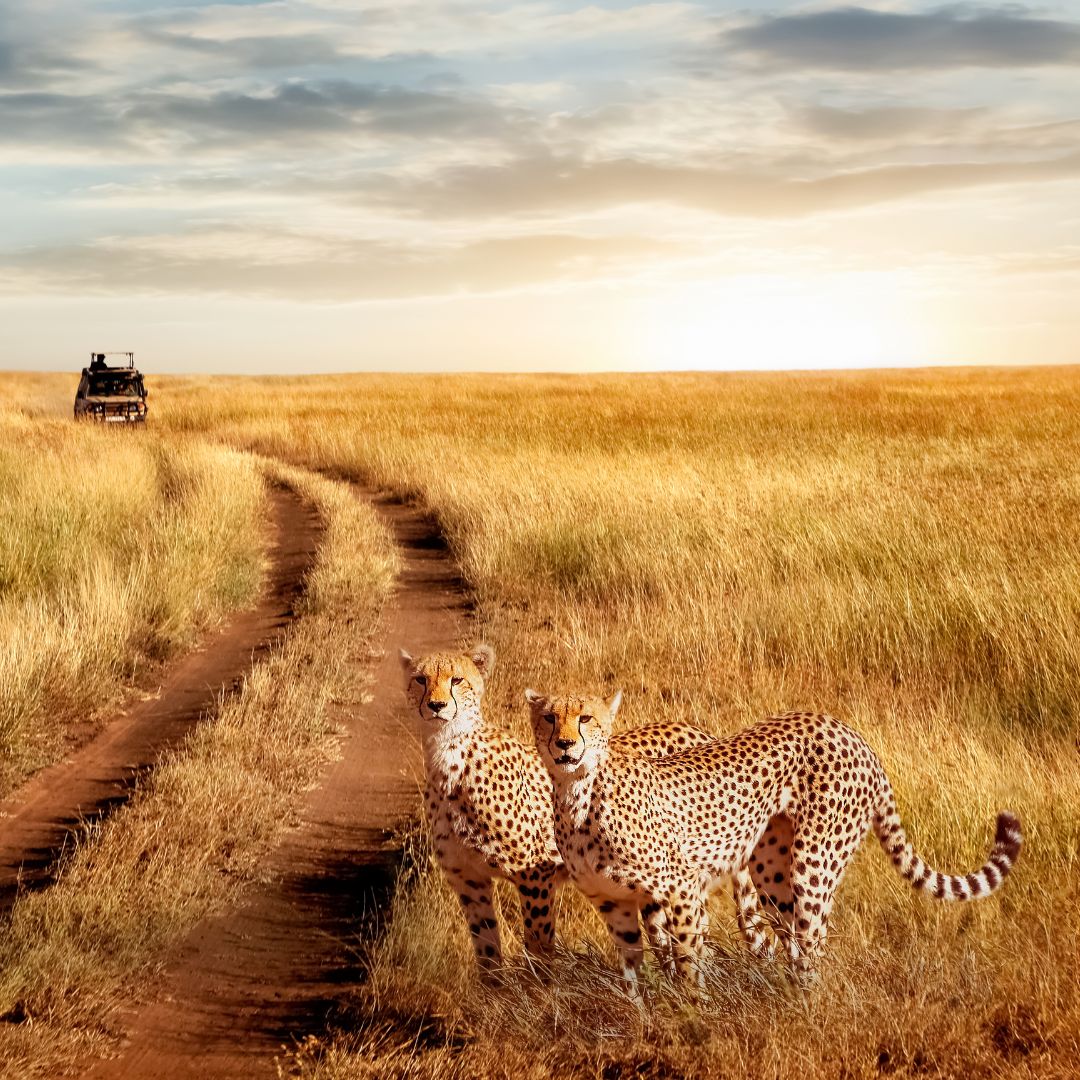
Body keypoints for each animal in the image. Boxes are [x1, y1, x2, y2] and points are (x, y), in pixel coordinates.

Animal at [397, 643, 760, 976]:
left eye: (456, 679)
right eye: (420, 679)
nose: (437, 706)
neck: (449, 759)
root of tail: (695, 730)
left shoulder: (535, 873)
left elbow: (538, 947)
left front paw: (540, 993)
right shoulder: (469, 880)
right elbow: (487, 955)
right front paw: (493, 996)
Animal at [527, 691, 1023, 989]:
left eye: (585, 718)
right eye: (550, 718)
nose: (565, 745)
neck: (577, 794)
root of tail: (848, 731)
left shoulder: (682, 888)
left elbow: (688, 961)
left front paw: (692, 1016)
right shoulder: (613, 902)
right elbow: (634, 974)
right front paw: (645, 1020)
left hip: (814, 861)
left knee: (812, 939)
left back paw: (804, 1007)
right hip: (769, 870)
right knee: (792, 934)